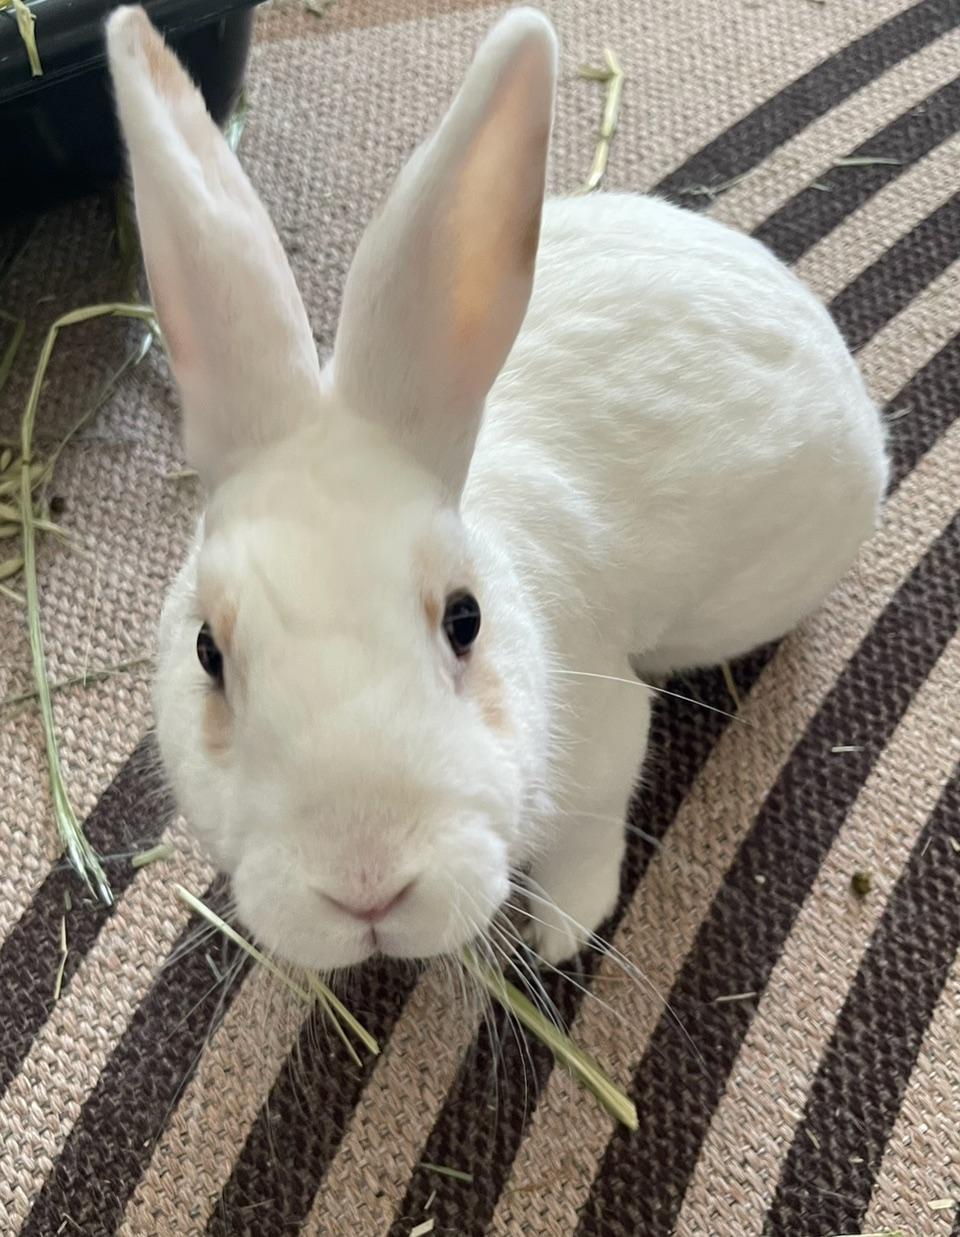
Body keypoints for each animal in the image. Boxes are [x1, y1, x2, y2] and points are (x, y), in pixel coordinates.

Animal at [106, 5, 887, 971]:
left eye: (465, 619)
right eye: (207, 652)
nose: (366, 884)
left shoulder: (605, 733)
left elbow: (591, 832)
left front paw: (560, 932)